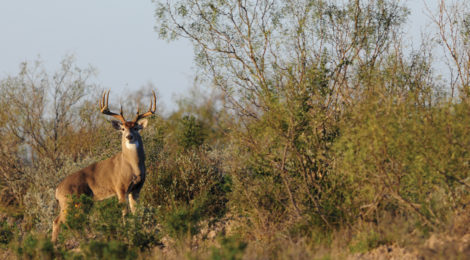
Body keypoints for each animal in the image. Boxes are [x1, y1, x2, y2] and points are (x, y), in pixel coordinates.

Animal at [51, 90, 156, 243]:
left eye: (136, 128)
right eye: (123, 128)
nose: (129, 136)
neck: (133, 167)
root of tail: (57, 190)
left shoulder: (136, 188)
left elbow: (135, 211)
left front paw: (138, 229)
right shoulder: (120, 187)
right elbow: (125, 212)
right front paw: (126, 231)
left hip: (82, 203)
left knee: (71, 221)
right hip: (69, 201)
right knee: (58, 221)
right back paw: (55, 244)